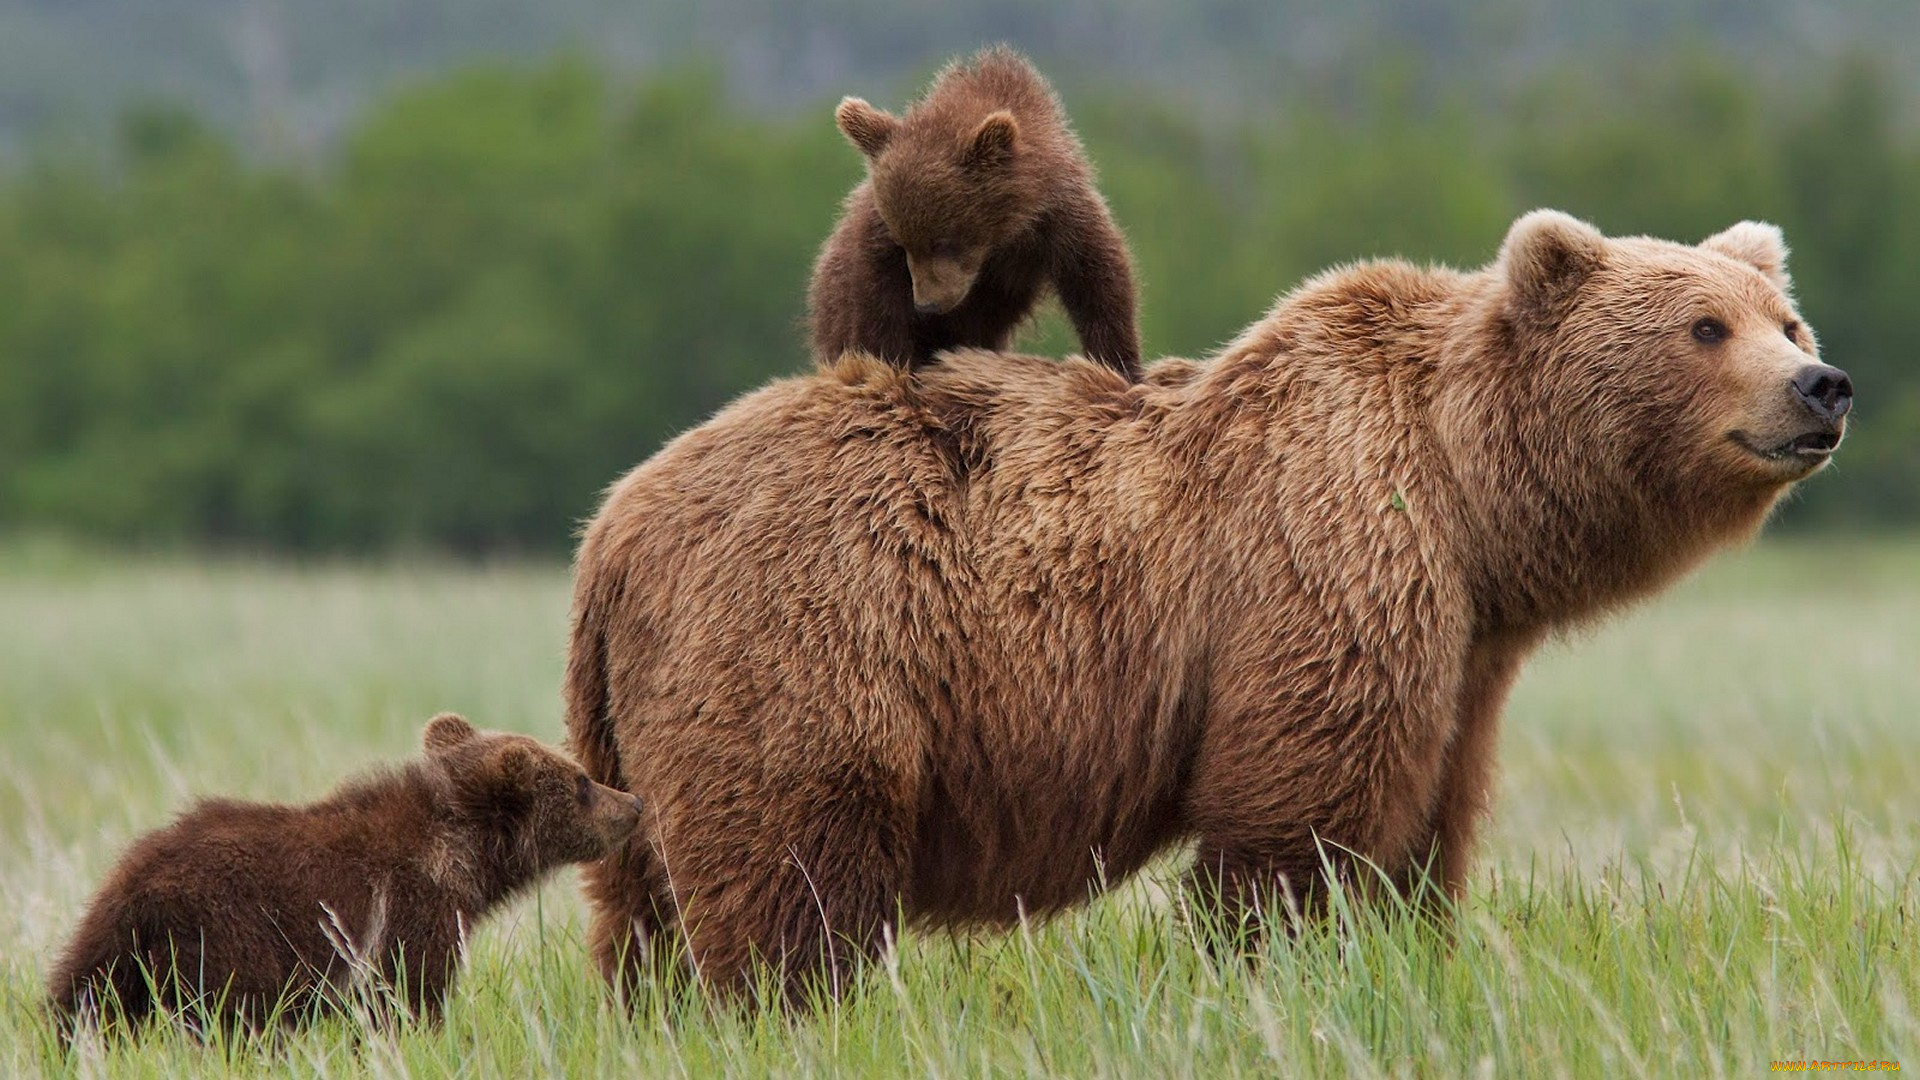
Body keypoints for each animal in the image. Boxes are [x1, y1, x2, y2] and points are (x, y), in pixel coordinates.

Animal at [564, 210, 1843, 999]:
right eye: (1704, 326)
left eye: (1785, 319)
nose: (1820, 386)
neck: (1470, 500)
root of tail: (613, 524)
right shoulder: (1326, 554)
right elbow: (1299, 815)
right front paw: (1273, 964)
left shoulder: (1465, 650)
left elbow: (1429, 818)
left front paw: (1412, 949)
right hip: (807, 635)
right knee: (793, 872)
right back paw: (787, 1006)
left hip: (639, 717)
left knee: (641, 902)